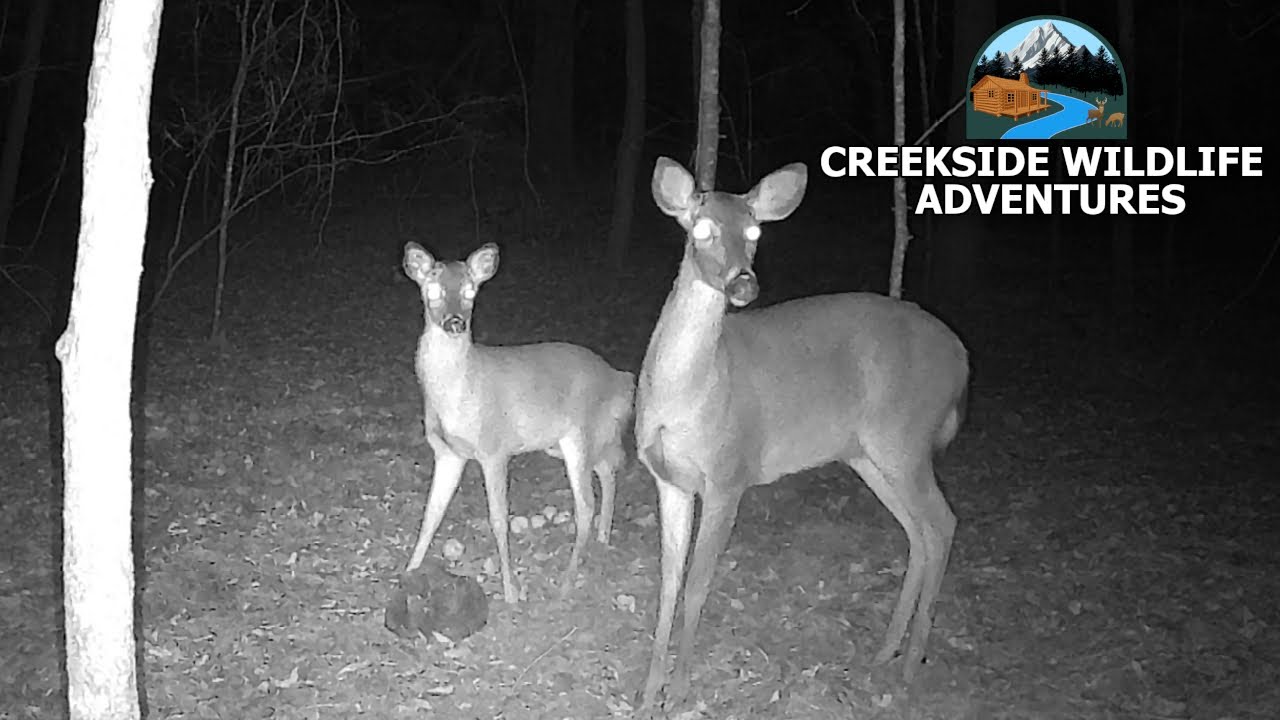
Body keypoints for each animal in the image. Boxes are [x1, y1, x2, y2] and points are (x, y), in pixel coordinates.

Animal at [402, 242, 635, 604]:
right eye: (433, 290)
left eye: (470, 291)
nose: (455, 322)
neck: (460, 390)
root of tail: (621, 380)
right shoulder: (447, 452)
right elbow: (431, 514)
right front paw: (408, 571)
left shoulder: (494, 450)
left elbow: (499, 519)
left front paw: (511, 590)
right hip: (573, 442)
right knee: (609, 470)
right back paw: (603, 538)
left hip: (580, 436)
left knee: (586, 503)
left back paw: (567, 581)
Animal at [635, 158, 969, 710]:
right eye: (701, 230)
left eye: (754, 232)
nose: (743, 284)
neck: (687, 396)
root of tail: (963, 359)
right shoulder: (668, 479)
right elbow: (668, 579)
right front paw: (648, 689)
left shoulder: (729, 475)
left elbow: (699, 581)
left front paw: (679, 691)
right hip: (869, 455)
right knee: (917, 530)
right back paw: (886, 652)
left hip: (905, 436)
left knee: (942, 522)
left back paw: (911, 665)